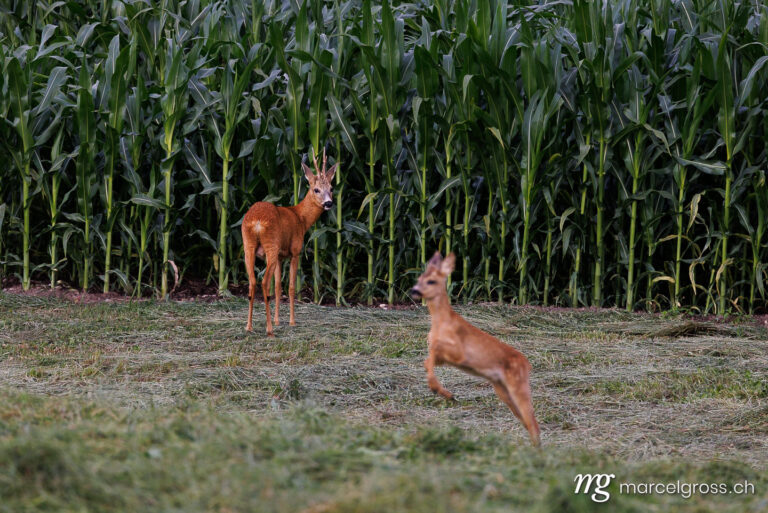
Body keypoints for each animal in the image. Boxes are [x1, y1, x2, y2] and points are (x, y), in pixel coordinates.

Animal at [240, 150, 336, 334]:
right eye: (316, 189)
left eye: (331, 188)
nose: (329, 203)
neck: (301, 218)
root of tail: (257, 222)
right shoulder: (295, 251)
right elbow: (291, 287)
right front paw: (291, 321)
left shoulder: (280, 256)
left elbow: (278, 287)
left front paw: (278, 320)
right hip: (271, 245)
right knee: (264, 283)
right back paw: (269, 330)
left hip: (248, 246)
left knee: (252, 282)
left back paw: (249, 326)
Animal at [412, 252, 544, 444]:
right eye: (419, 278)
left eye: (431, 281)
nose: (414, 291)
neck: (441, 323)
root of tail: (527, 364)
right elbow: (427, 360)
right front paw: (443, 392)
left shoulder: (460, 354)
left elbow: (434, 350)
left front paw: (442, 391)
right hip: (501, 389)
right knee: (527, 421)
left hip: (517, 384)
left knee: (532, 422)